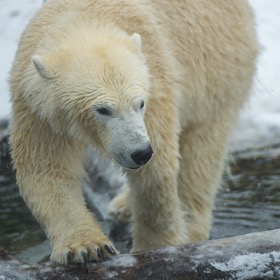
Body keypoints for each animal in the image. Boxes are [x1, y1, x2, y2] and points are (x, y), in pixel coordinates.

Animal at [8, 0, 258, 262]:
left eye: (140, 103)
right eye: (102, 109)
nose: (140, 152)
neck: (85, 18)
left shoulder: (155, 81)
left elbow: (155, 173)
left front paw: (155, 246)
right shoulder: (39, 109)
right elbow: (47, 168)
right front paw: (87, 247)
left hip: (217, 72)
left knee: (201, 155)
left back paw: (191, 226)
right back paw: (122, 206)